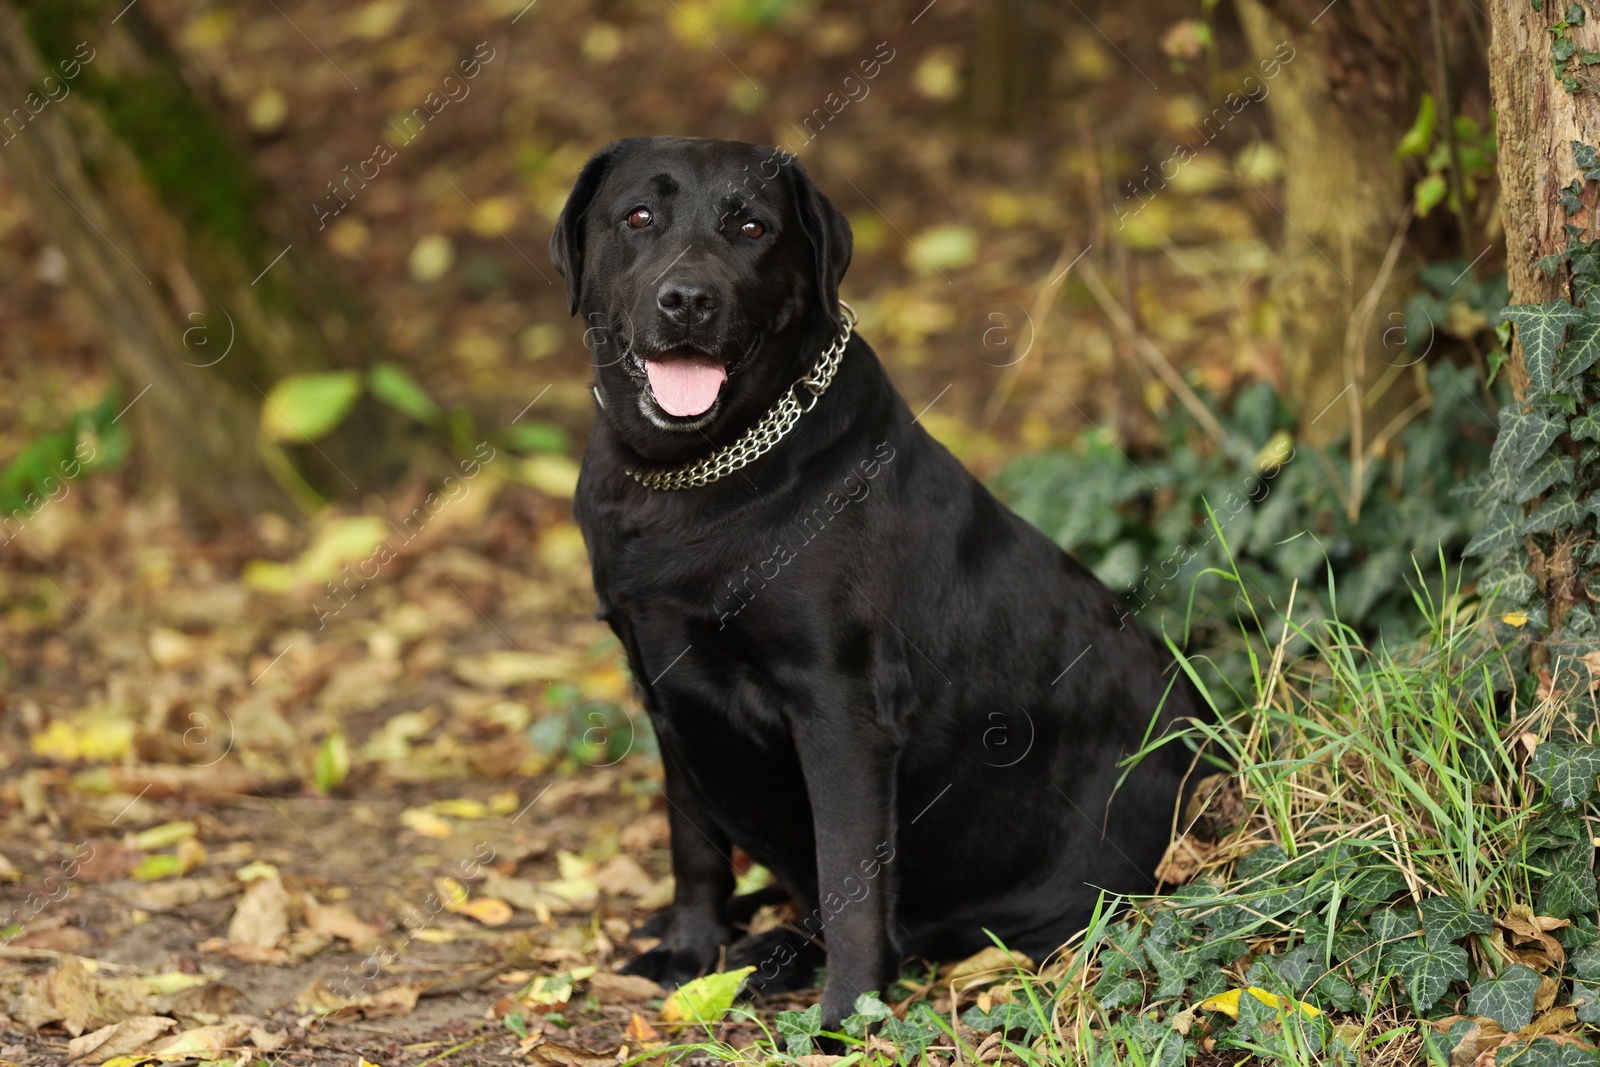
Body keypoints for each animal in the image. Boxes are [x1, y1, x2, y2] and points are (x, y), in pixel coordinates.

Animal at [556, 135, 1196, 1023]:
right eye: (639, 216)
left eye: (751, 227)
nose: (687, 300)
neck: (693, 477)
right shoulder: (663, 688)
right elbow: (693, 845)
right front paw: (690, 950)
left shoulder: (841, 705)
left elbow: (850, 875)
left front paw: (848, 1015)